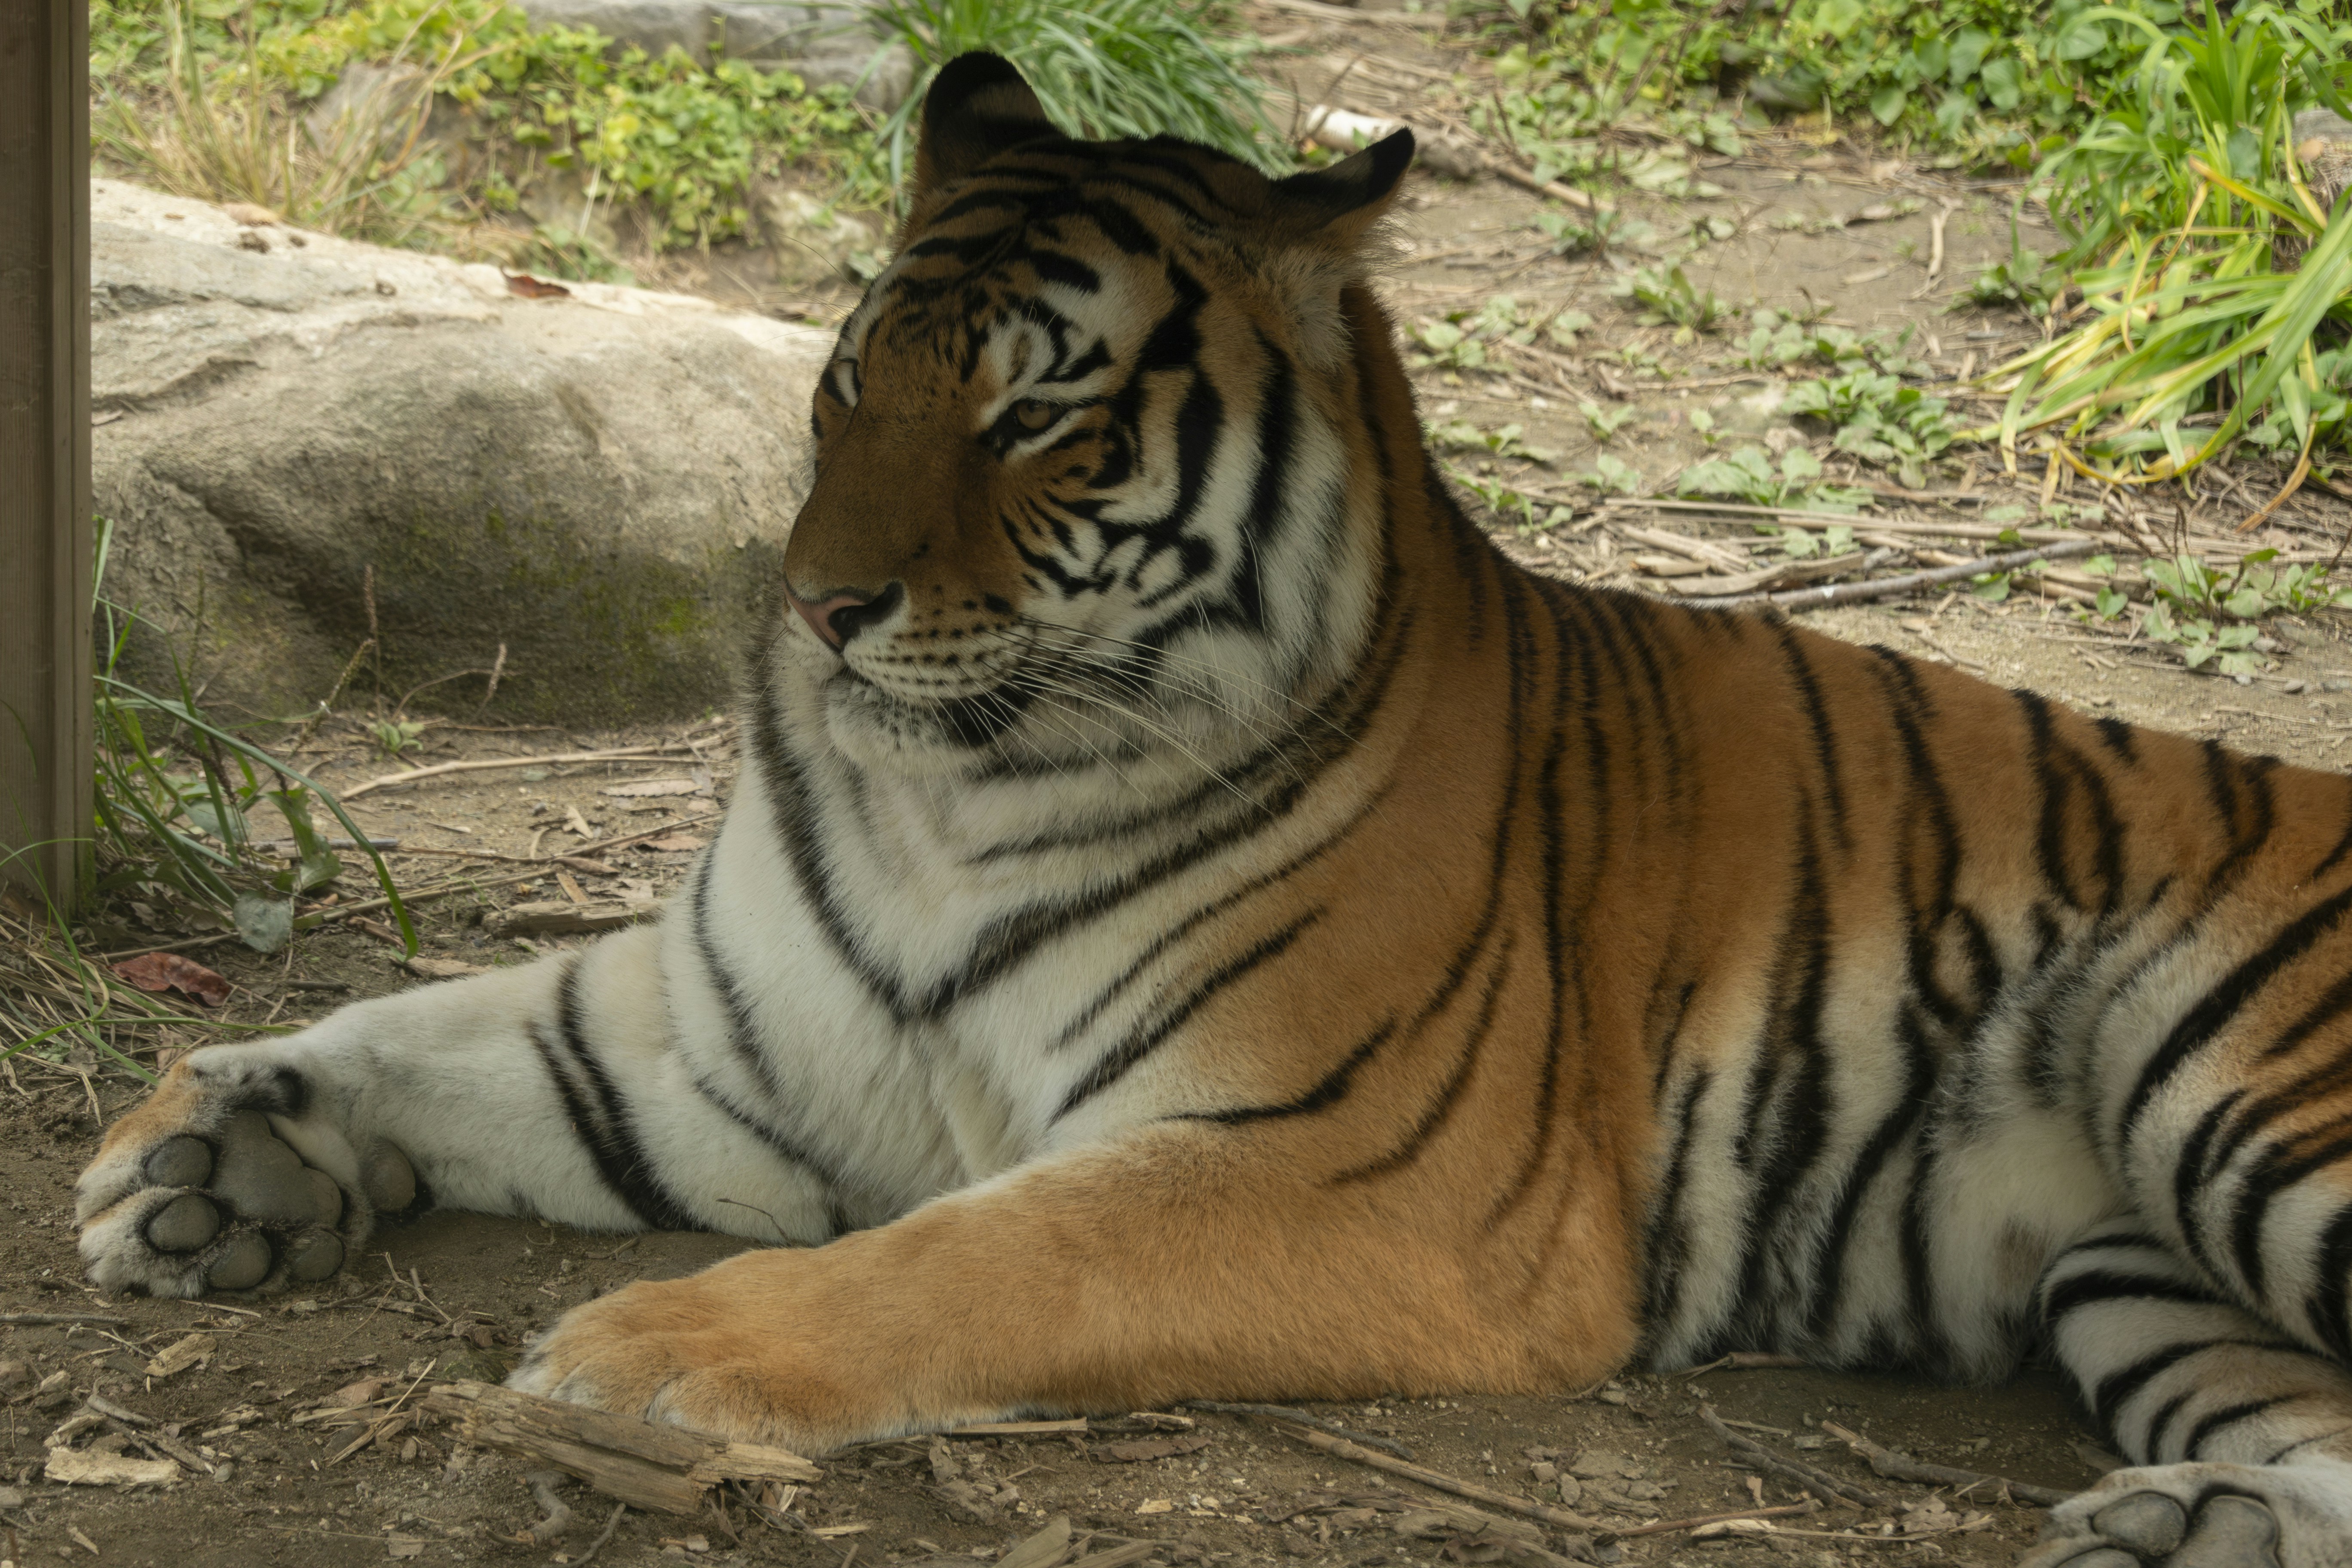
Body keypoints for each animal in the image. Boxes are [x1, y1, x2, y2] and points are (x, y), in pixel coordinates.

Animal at [69, 50, 2352, 1567]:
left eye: (1033, 417)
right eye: (848, 382)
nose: (814, 607)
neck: (947, 800)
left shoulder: (1359, 1170)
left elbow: (972, 1261)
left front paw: (633, 1355)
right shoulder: (727, 1055)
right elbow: (456, 1027)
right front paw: (207, 1151)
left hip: (2241, 1098)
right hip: (2135, 1269)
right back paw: (2173, 1530)